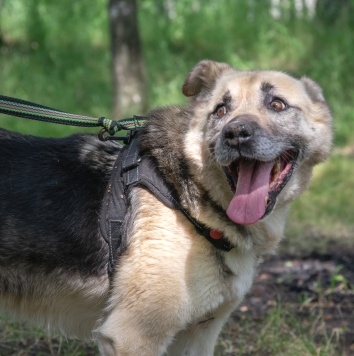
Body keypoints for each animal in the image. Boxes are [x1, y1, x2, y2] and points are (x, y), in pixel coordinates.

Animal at [0, 59, 332, 354]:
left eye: (277, 105)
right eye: (221, 110)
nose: (235, 134)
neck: (188, 199)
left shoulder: (197, 337)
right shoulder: (132, 336)